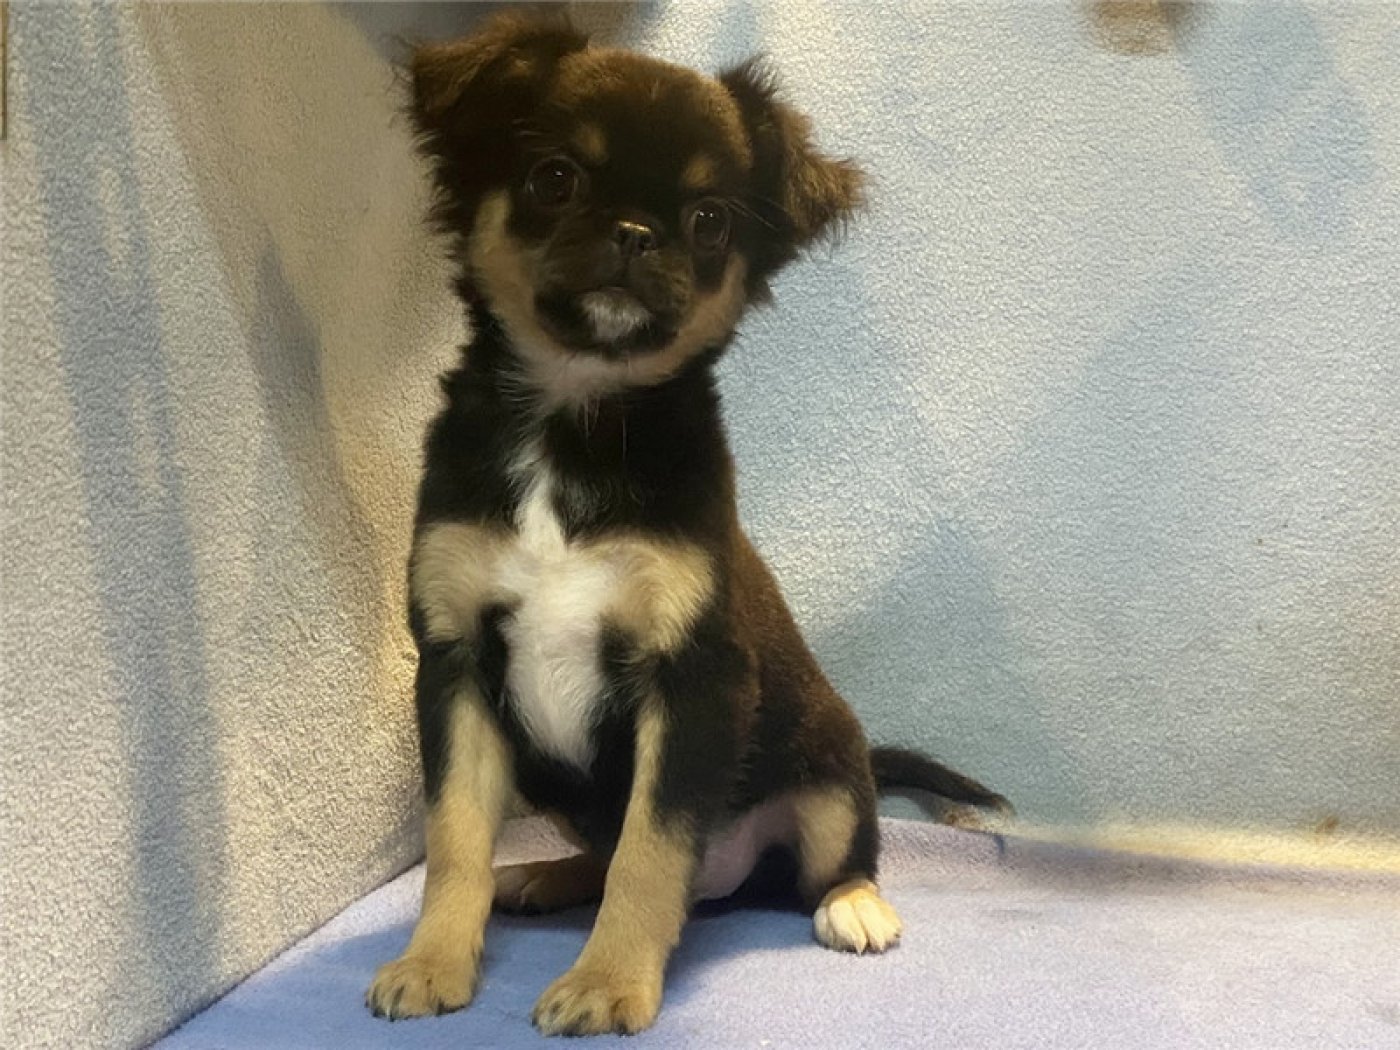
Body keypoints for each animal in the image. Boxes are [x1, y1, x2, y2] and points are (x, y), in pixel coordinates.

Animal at [366, 11, 1008, 1036]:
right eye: (554, 178)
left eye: (710, 221)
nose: (636, 234)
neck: (575, 422)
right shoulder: (458, 665)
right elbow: (457, 838)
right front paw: (431, 962)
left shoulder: (693, 680)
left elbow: (651, 850)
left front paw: (607, 983)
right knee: (607, 852)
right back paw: (548, 875)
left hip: (830, 772)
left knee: (826, 859)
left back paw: (855, 904)